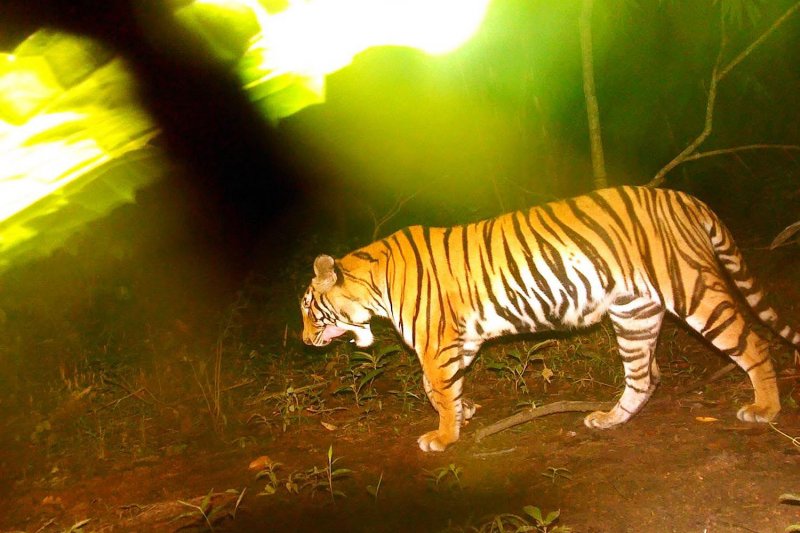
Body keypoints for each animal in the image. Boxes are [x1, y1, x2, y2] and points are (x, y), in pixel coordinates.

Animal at [300, 185, 800, 452]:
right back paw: (609, 420)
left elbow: (435, 387)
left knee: (753, 344)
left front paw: (443, 436)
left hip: (691, 289)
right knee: (644, 376)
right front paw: (465, 410)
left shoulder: (437, 342)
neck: (372, 287)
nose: (305, 341)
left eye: (307, 309)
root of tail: (683, 196)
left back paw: (764, 409)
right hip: (634, 314)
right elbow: (436, 386)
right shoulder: (461, 340)